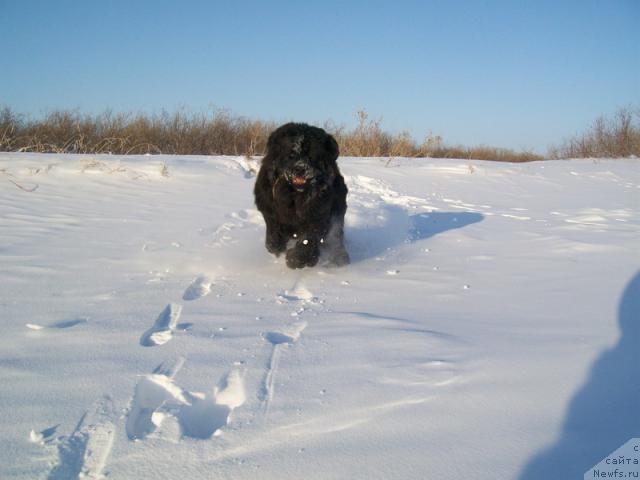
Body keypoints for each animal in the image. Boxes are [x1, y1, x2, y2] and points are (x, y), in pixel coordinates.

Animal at [252, 122, 350, 268]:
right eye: (291, 154)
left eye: (311, 156)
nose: (300, 168)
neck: (295, 196)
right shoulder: (268, 207)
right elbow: (273, 227)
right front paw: (275, 245)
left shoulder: (317, 215)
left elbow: (308, 239)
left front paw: (297, 259)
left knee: (337, 236)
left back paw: (341, 257)